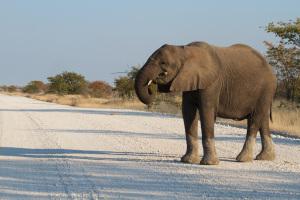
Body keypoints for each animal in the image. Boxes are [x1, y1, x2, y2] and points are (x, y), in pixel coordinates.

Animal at [135, 41, 276, 165]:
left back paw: (243, 159)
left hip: (266, 89)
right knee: (262, 120)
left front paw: (209, 163)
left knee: (255, 119)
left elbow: (206, 110)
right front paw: (188, 161)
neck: (186, 51)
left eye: (163, 63)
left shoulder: (212, 82)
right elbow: (188, 112)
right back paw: (265, 158)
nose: (152, 84)